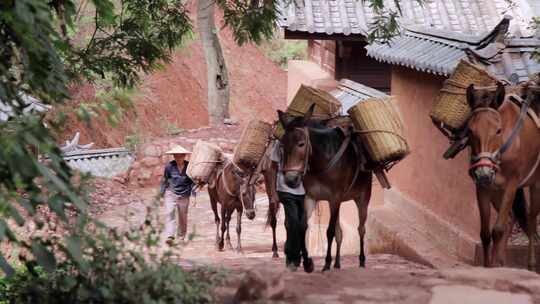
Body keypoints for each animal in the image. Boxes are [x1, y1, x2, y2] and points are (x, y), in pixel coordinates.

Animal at [278, 106, 372, 270]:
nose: (290, 180)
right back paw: (338, 263)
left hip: (363, 197)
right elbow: (303, 227)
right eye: (282, 145)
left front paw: (326, 263)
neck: (321, 161)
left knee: (361, 229)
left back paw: (361, 260)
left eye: (301, 144)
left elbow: (329, 231)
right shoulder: (310, 197)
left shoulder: (334, 198)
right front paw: (307, 263)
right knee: (340, 232)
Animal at [464, 82, 540, 268]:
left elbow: (497, 230)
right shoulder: (483, 187)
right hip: (496, 191)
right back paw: (501, 261)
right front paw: (489, 265)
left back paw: (531, 264)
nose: (484, 173)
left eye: (498, 130)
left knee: (531, 220)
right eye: (470, 131)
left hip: (535, 185)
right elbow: (485, 233)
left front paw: (492, 266)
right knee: (511, 218)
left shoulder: (511, 185)